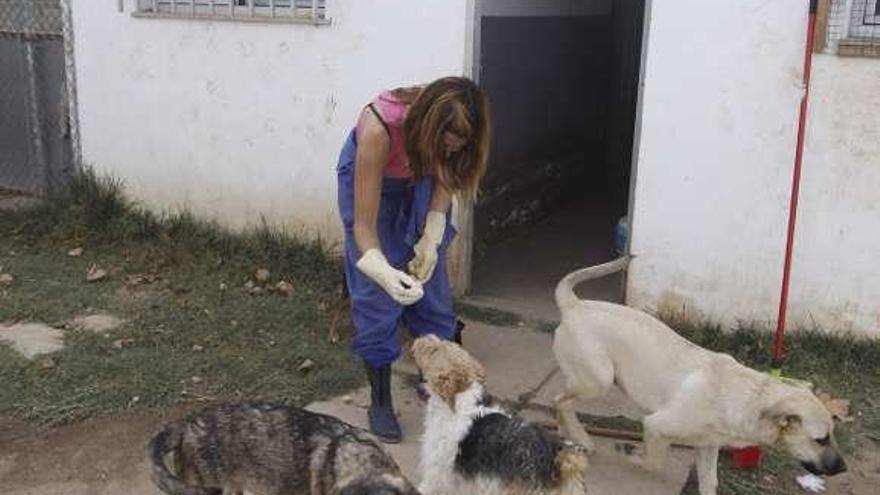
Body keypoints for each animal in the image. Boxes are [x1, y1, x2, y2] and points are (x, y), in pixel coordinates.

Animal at [552, 262, 844, 494]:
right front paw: (634, 455)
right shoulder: (654, 425)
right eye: (821, 439)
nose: (843, 468)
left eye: (832, 435)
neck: (748, 397)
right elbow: (654, 462)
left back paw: (566, 434)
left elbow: (709, 482)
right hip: (600, 379)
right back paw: (583, 438)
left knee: (562, 402)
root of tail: (574, 304)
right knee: (561, 400)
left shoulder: (707, 446)